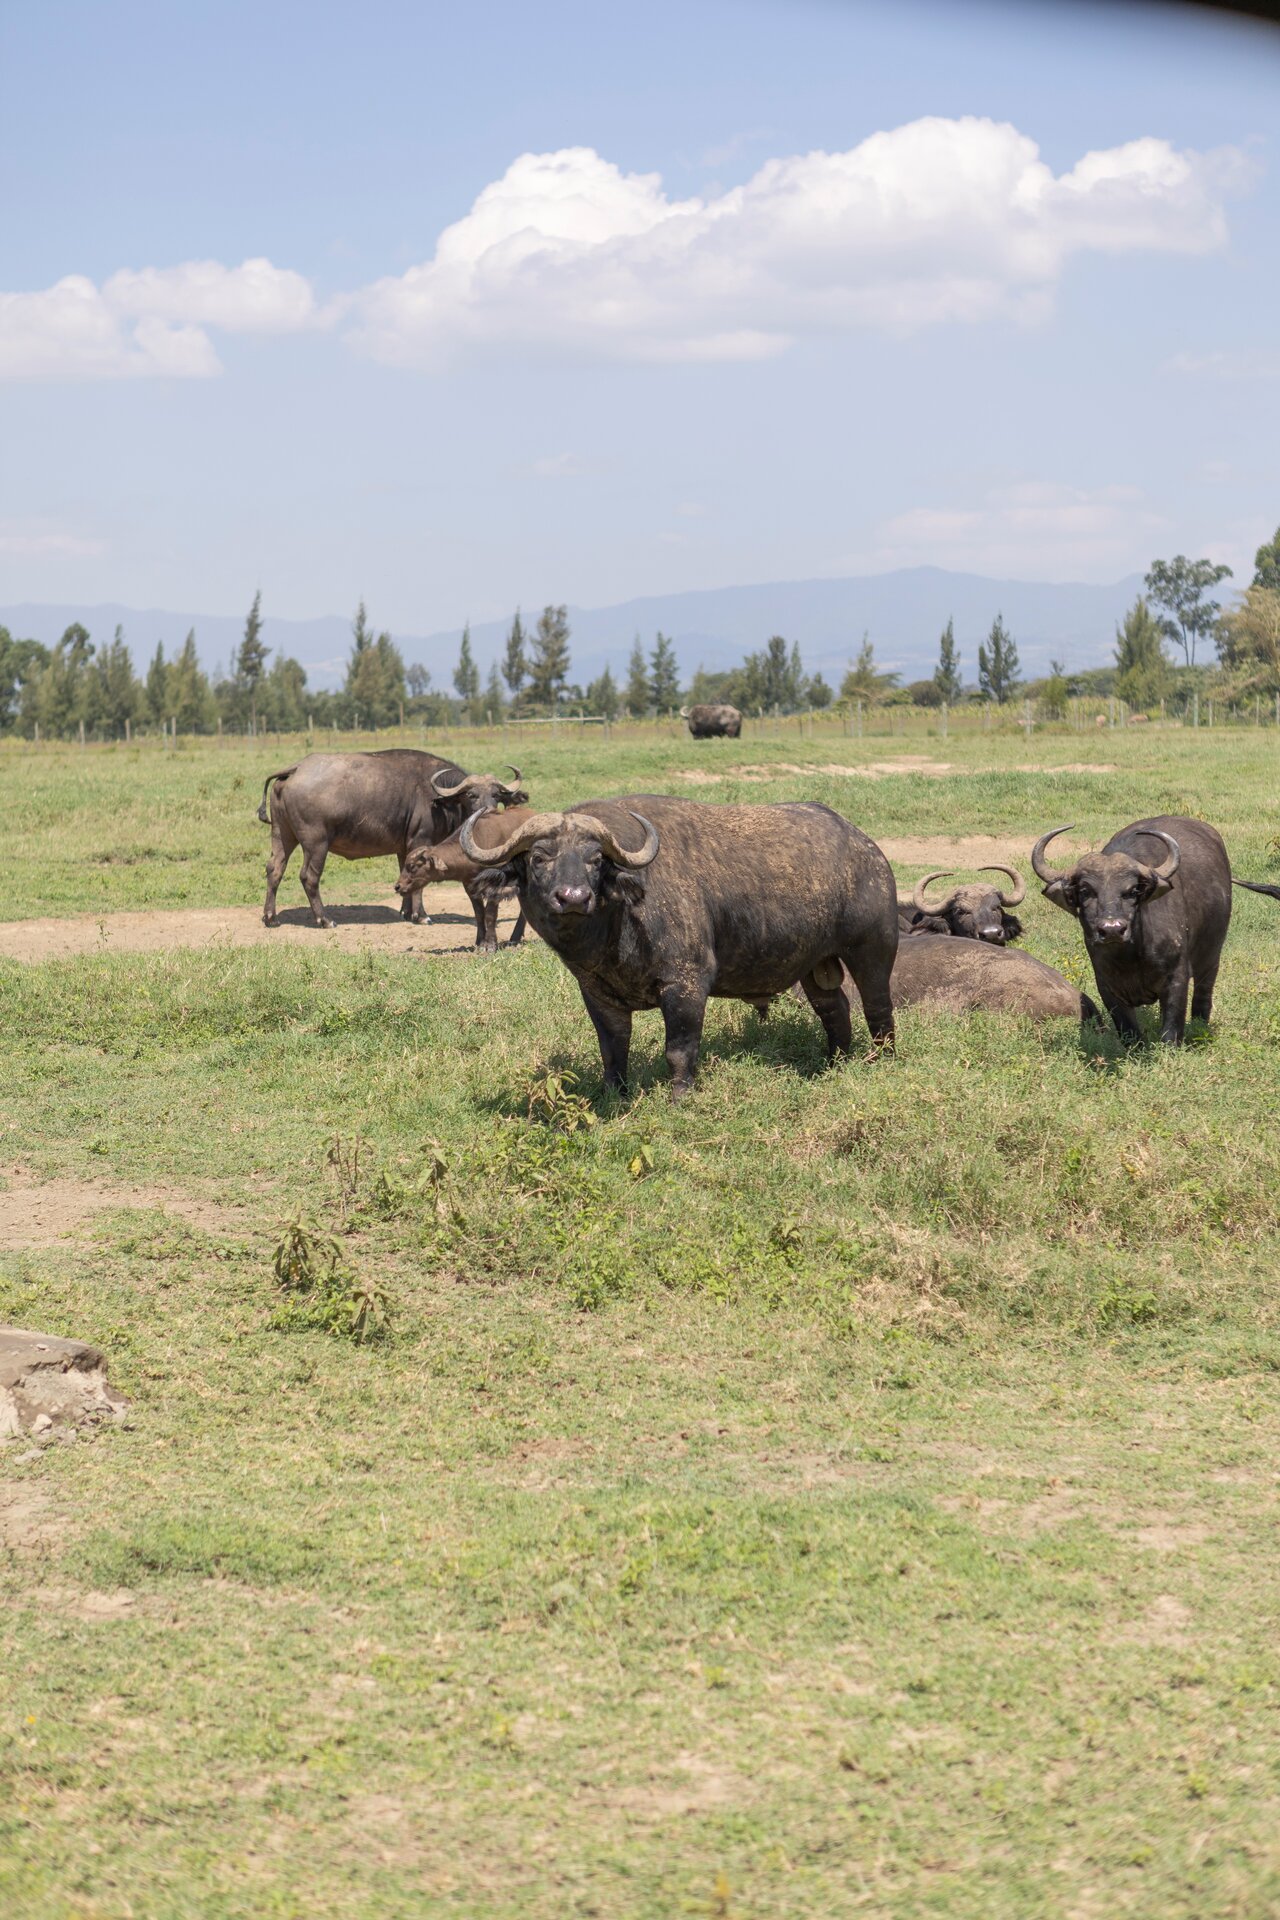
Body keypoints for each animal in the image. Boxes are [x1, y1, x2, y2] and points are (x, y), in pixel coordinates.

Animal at [257, 750, 527, 928]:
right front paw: (422, 915)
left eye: (496, 794)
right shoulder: (420, 841)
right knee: (309, 877)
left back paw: (271, 918)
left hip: (282, 835)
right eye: (471, 795)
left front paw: (406, 912)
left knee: (274, 869)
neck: (439, 801)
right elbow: (420, 882)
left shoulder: (404, 847)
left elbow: (405, 875)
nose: (490, 812)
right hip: (316, 843)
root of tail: (296, 768)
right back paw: (325, 919)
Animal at [395, 811, 530, 953]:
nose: (398, 886)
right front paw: (480, 941)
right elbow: (479, 914)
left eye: (412, 866)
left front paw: (490, 945)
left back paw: (515, 937)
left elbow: (490, 914)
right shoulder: (470, 888)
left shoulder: (495, 888)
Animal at [459, 795, 897, 1098]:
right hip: (813, 965)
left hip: (873, 950)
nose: (573, 897)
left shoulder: (685, 985)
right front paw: (614, 1097)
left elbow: (680, 1050)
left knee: (878, 1009)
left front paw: (680, 1097)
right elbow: (612, 1052)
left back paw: (883, 1063)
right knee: (834, 1008)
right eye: (538, 857)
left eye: (596, 859)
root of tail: (867, 849)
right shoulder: (597, 995)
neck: (615, 929)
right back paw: (834, 1063)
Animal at [1031, 815, 1230, 1045]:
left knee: (1203, 992)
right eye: (1085, 891)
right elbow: (1128, 1030)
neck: (1131, 956)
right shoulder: (1107, 986)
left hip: (1212, 957)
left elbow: (1172, 1027)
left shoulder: (1177, 977)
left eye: (1133, 891)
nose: (1112, 930)